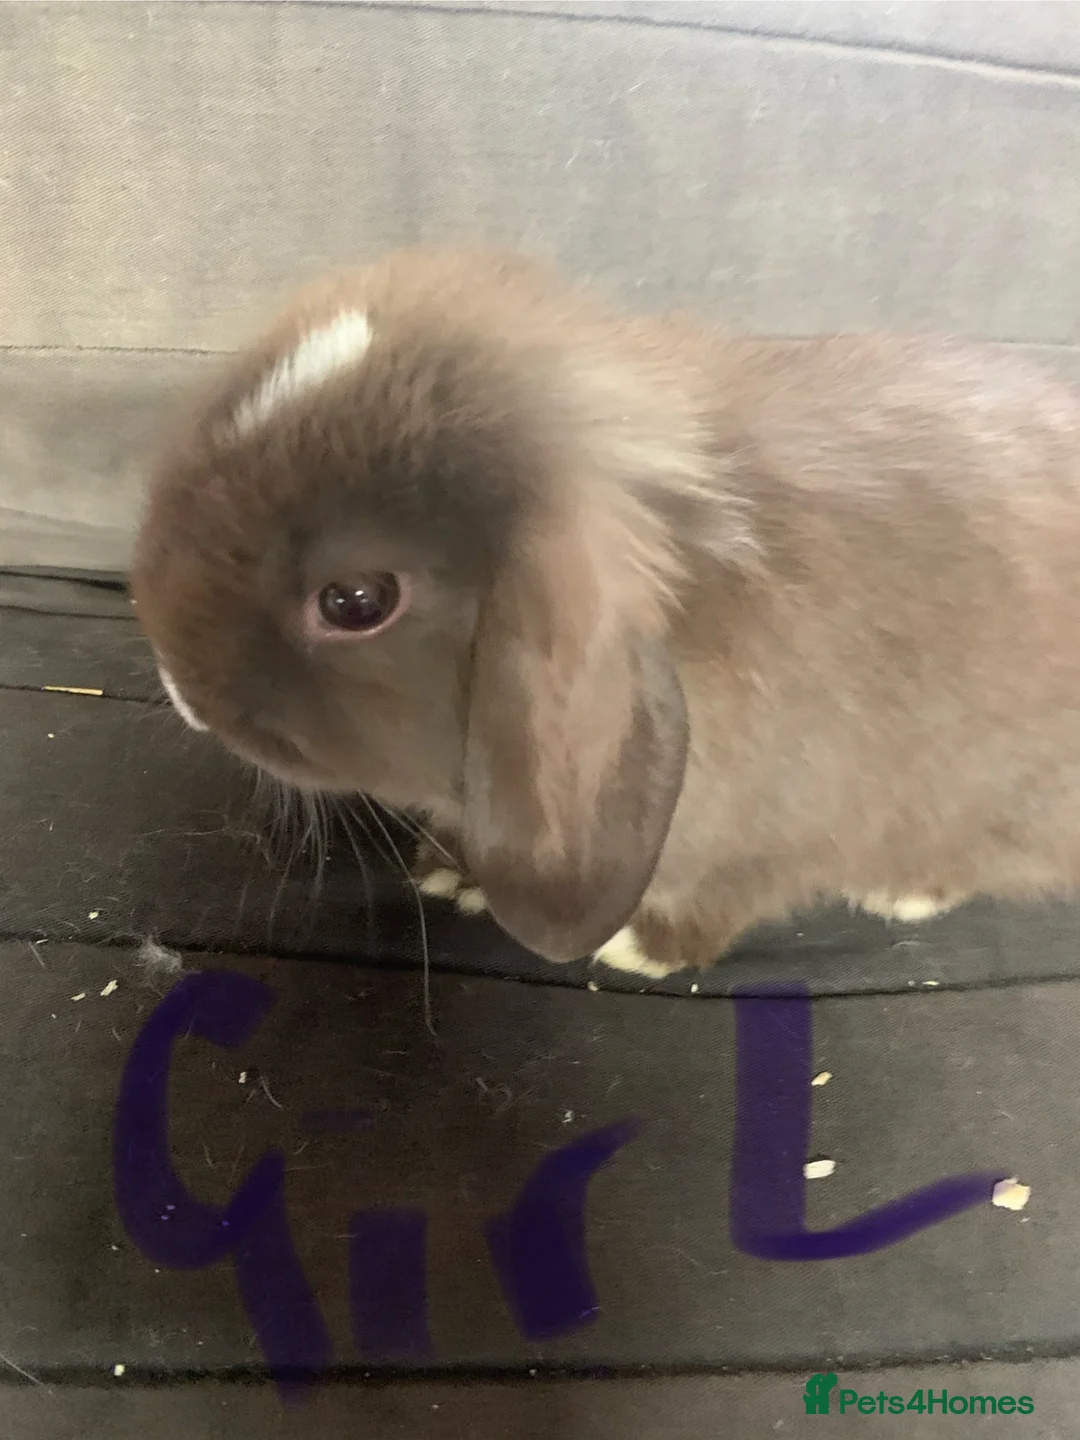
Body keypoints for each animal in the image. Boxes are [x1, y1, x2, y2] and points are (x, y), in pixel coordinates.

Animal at [131, 243, 1080, 979]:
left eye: (356, 601)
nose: (179, 685)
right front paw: (450, 873)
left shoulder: (773, 837)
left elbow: (725, 897)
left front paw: (638, 950)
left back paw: (902, 890)